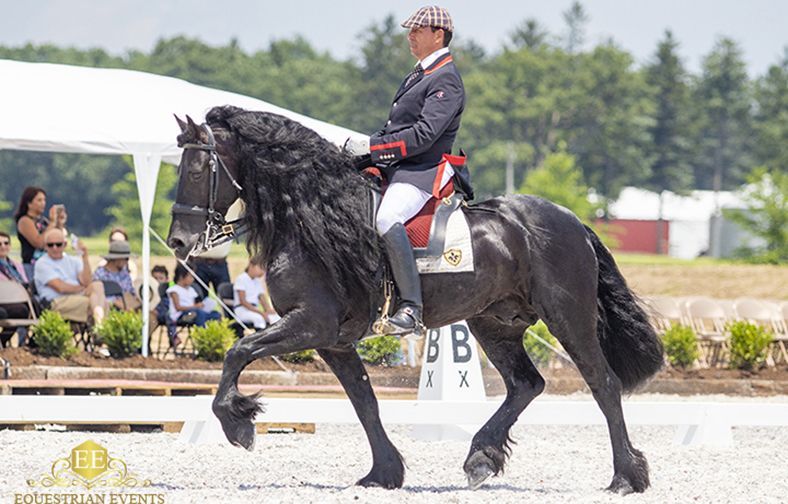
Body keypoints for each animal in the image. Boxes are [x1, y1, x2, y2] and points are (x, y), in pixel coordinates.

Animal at [166, 105, 664, 495]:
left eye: (196, 171)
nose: (177, 242)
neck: (313, 215)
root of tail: (572, 221)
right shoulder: (334, 341)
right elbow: (364, 402)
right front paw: (384, 473)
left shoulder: (311, 323)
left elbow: (238, 351)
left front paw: (238, 422)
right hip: (494, 323)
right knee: (527, 384)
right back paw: (480, 459)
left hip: (567, 317)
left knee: (603, 383)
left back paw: (625, 477)